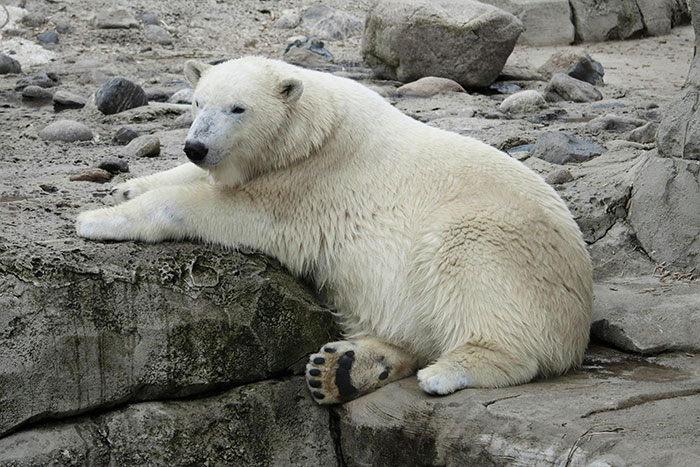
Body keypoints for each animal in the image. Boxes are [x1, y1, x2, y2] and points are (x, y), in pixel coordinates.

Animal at [76, 56, 592, 404]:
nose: (196, 146)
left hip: (494, 237)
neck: (312, 131)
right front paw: (128, 185)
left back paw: (444, 372)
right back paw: (342, 369)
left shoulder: (307, 187)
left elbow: (226, 209)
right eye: (198, 102)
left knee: (473, 280)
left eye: (238, 108)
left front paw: (96, 220)